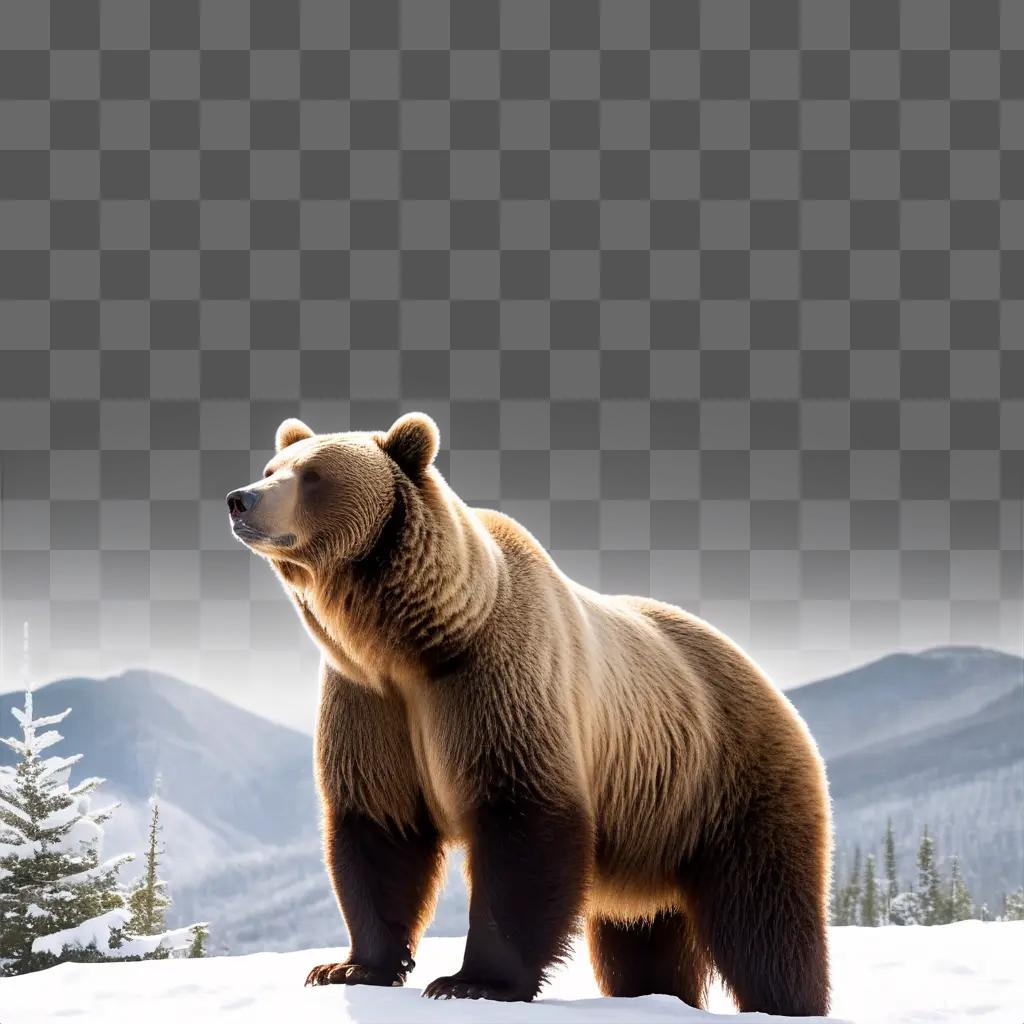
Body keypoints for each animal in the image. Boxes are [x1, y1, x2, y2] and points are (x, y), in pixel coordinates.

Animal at [226, 411, 831, 1011]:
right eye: (273, 467)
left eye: (313, 476)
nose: (241, 499)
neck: (408, 642)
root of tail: (768, 684)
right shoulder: (370, 702)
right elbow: (378, 827)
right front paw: (348, 967)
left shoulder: (497, 682)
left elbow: (522, 823)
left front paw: (472, 981)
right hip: (653, 823)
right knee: (642, 940)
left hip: (728, 783)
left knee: (764, 917)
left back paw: (785, 1001)